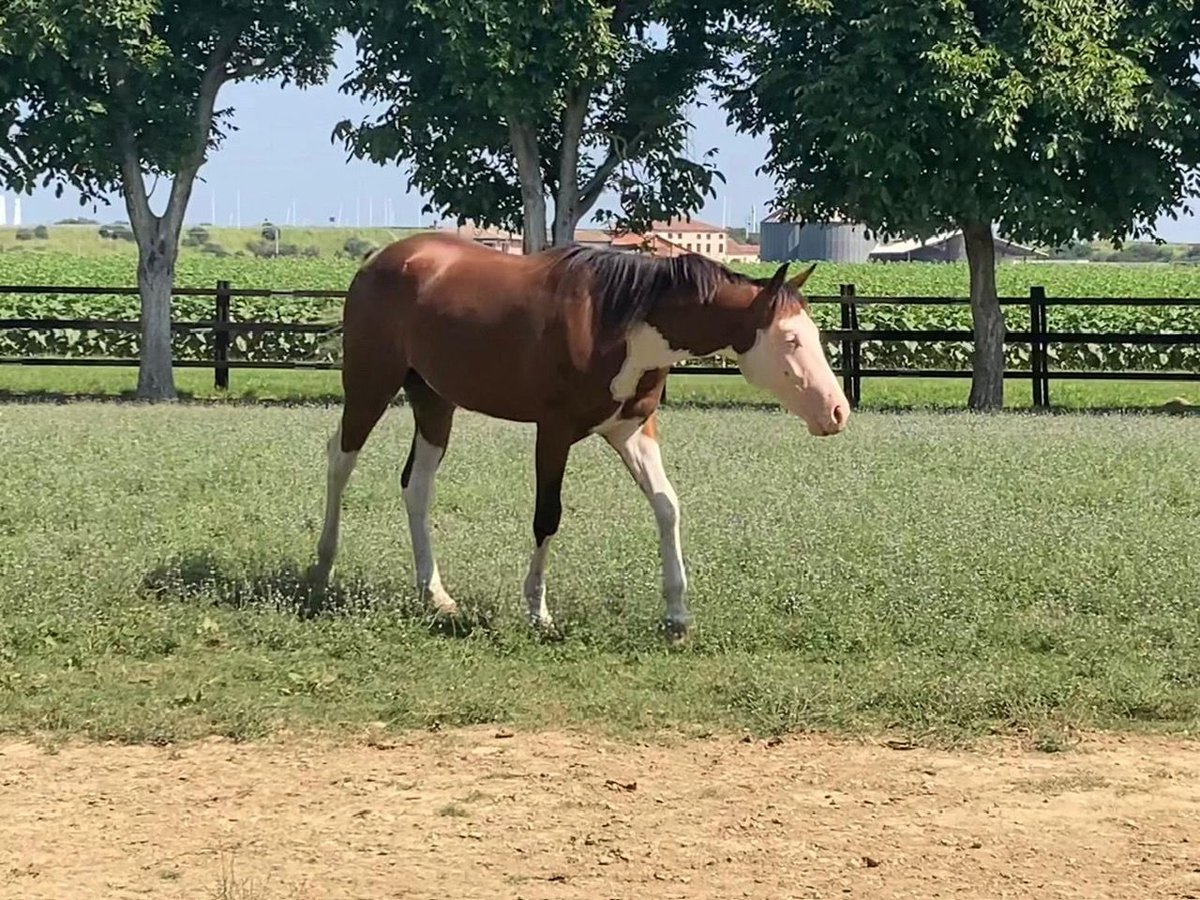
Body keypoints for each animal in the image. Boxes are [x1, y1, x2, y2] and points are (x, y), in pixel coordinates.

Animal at [312, 232, 854, 643]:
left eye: (815, 335)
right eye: (790, 339)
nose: (837, 411)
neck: (621, 321)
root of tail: (380, 259)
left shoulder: (631, 431)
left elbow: (667, 506)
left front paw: (677, 615)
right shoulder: (553, 432)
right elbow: (546, 517)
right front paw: (538, 612)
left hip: (433, 401)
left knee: (417, 487)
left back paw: (435, 595)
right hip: (370, 386)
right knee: (340, 460)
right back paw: (322, 569)